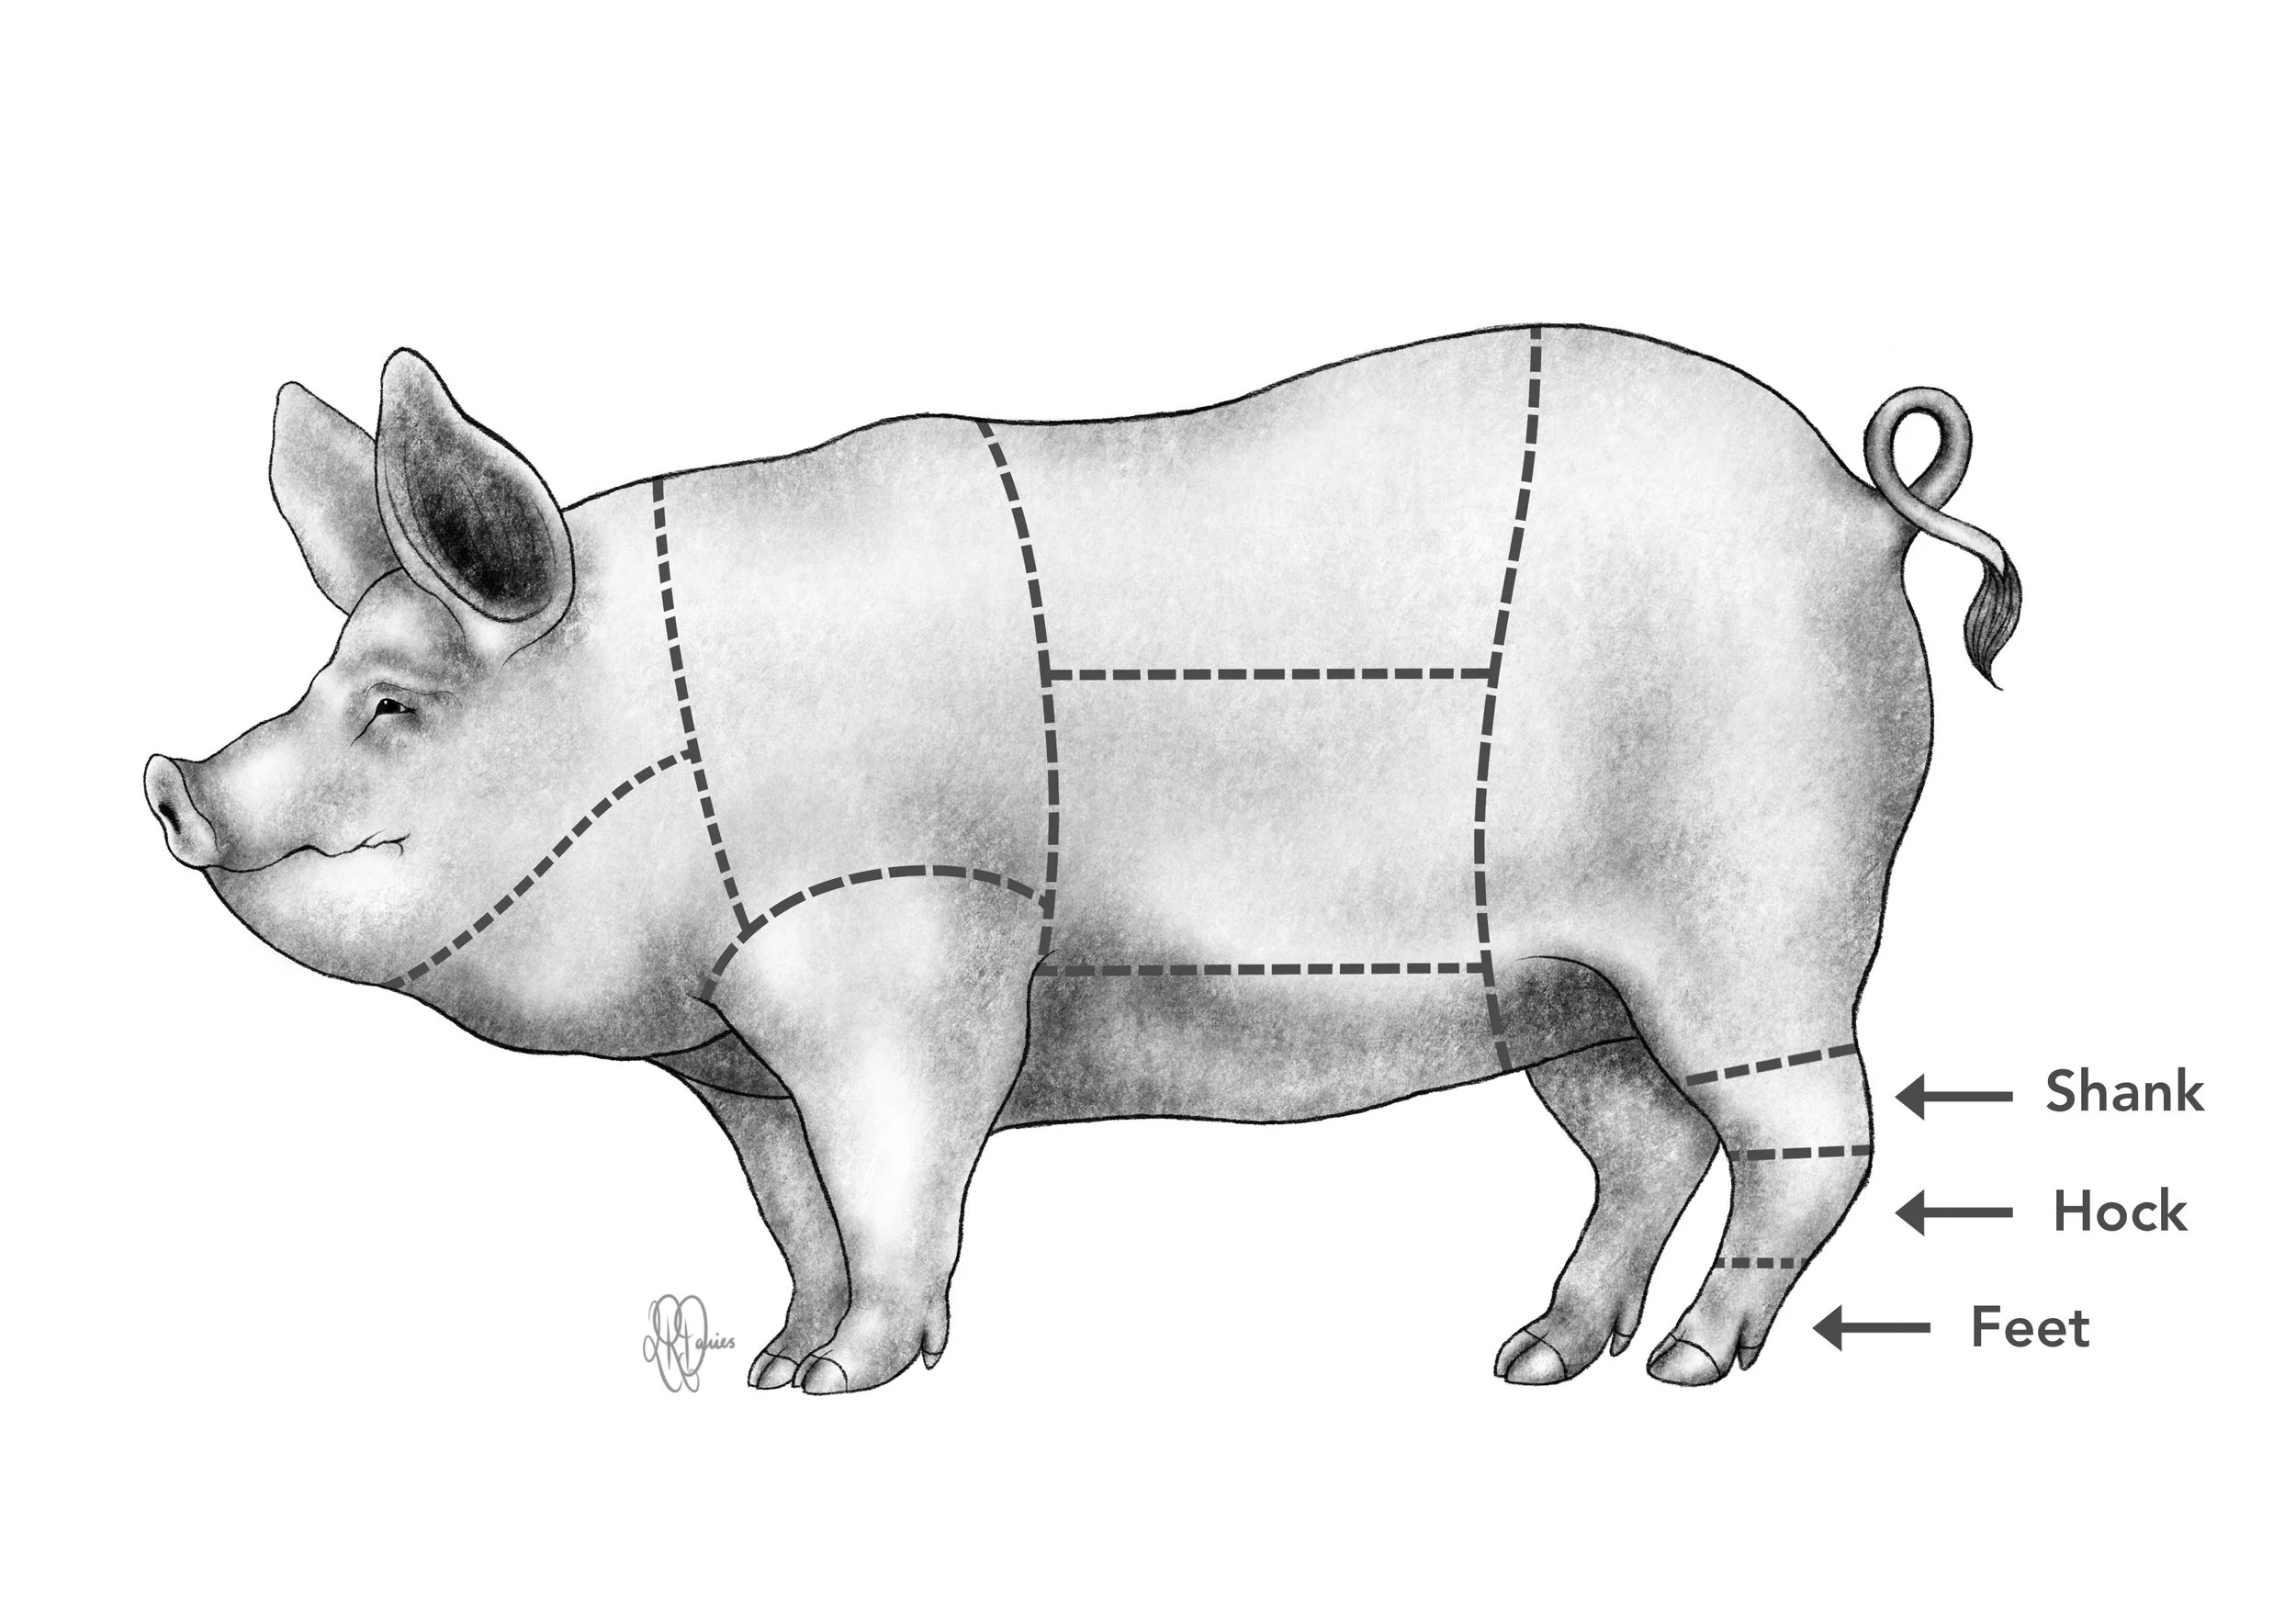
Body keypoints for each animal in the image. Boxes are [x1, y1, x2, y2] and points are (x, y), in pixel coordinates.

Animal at [146, 325, 2018, 1393]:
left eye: (395, 705)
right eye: (324, 677)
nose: (171, 780)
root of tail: (1859, 504)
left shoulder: (904, 959)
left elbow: (898, 1180)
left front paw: (847, 1387)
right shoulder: (742, 1066)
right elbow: (798, 1211)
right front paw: (773, 1364)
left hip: (1758, 914)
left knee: (1814, 1134)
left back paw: (1690, 1369)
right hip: (1567, 984)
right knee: (1647, 1144)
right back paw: (1532, 1357)